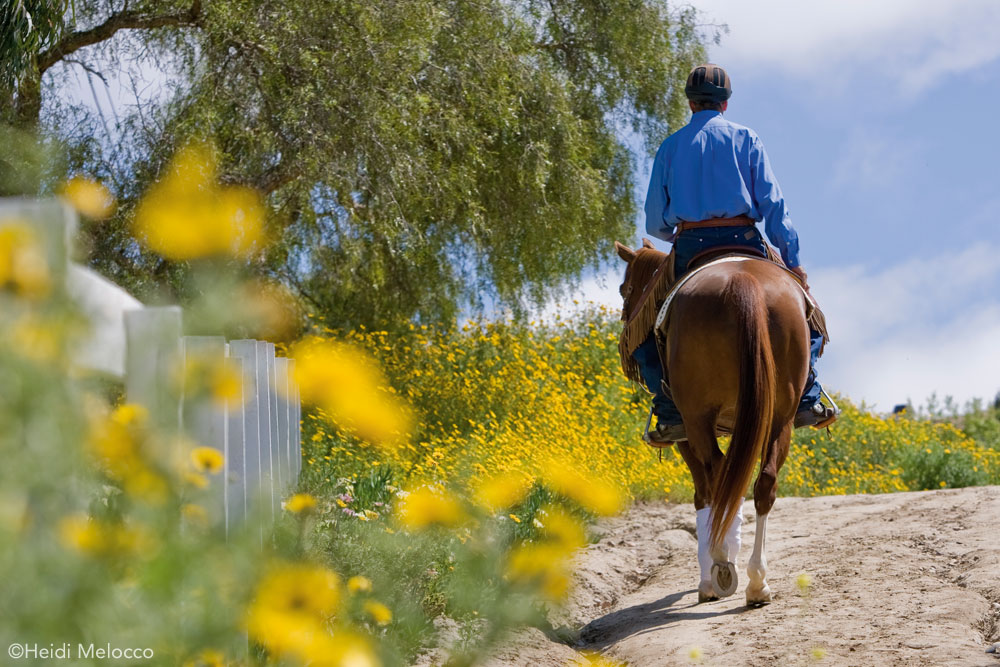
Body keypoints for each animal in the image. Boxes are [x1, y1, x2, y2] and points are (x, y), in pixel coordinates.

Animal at [615, 239, 811, 606]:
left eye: (624, 288)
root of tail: (744, 281)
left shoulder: (686, 438)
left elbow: (703, 495)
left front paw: (709, 579)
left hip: (696, 419)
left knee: (719, 480)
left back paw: (723, 565)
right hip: (782, 417)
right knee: (763, 483)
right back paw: (757, 582)